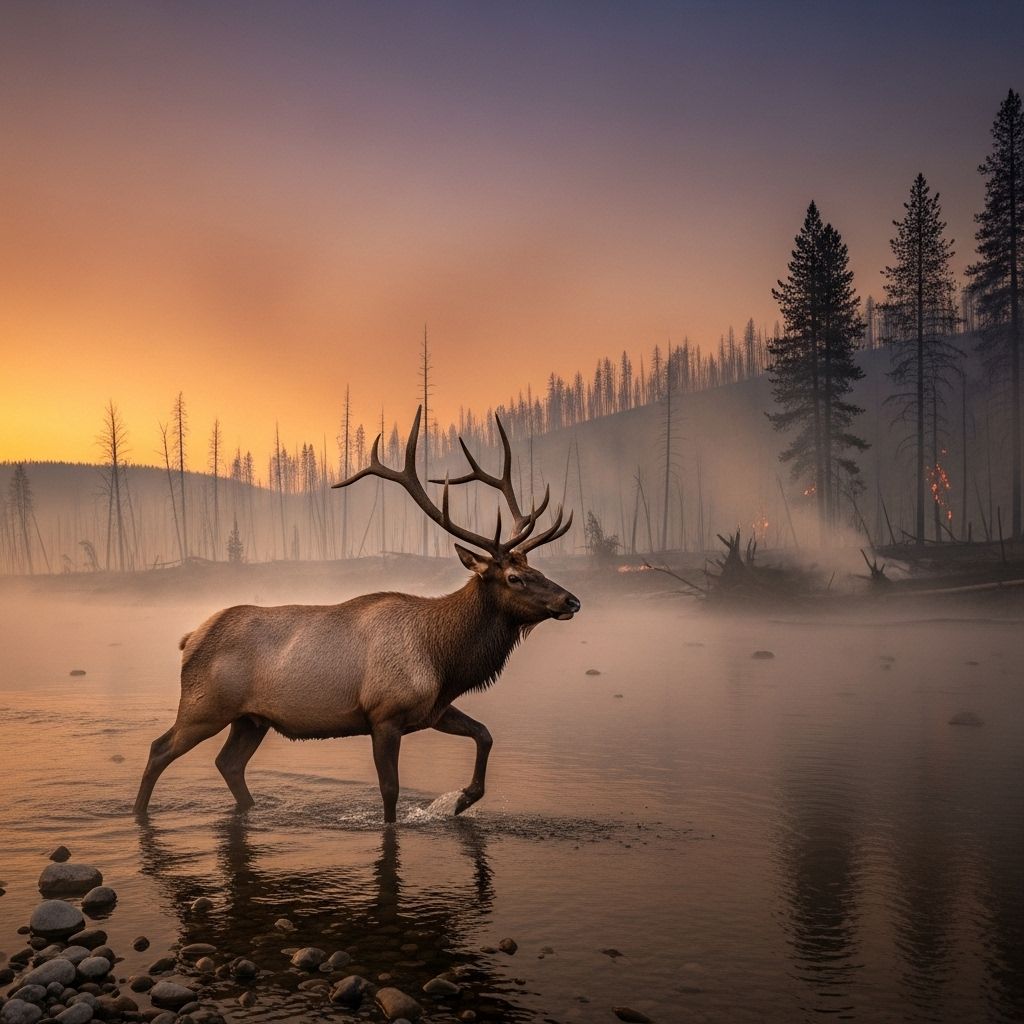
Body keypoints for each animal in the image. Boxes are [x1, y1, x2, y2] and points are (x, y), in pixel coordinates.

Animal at [134, 407, 580, 823]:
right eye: (514, 577)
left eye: (537, 569)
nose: (571, 601)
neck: (443, 660)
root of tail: (190, 639)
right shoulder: (384, 715)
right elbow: (389, 792)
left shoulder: (432, 710)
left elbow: (485, 735)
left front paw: (462, 799)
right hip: (205, 706)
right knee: (159, 749)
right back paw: (138, 812)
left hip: (251, 719)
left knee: (228, 764)